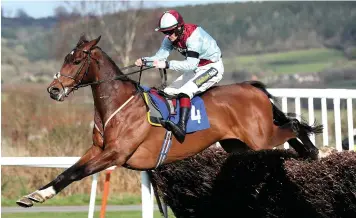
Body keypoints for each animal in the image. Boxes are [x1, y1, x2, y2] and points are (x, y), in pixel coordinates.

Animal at [16, 35, 322, 207]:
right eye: (66, 57)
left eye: (78, 60)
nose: (54, 89)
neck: (117, 106)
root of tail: (252, 87)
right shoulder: (97, 150)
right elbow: (68, 171)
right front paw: (36, 194)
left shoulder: (115, 153)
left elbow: (76, 173)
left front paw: (39, 195)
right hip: (240, 146)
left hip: (260, 136)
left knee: (293, 125)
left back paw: (313, 152)